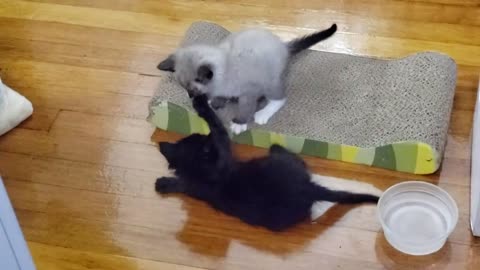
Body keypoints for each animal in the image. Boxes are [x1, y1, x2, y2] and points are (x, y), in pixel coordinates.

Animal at [155, 95, 378, 232]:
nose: (203, 135)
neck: (200, 172)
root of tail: (307, 187)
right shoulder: (220, 152)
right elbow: (218, 128)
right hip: (281, 160)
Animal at [158, 23, 338, 133]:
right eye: (184, 88)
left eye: (192, 89)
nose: (190, 96)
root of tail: (283, 45)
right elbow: (220, 96)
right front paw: (216, 102)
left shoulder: (248, 94)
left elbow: (245, 109)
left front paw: (239, 123)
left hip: (270, 82)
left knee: (280, 99)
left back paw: (263, 114)